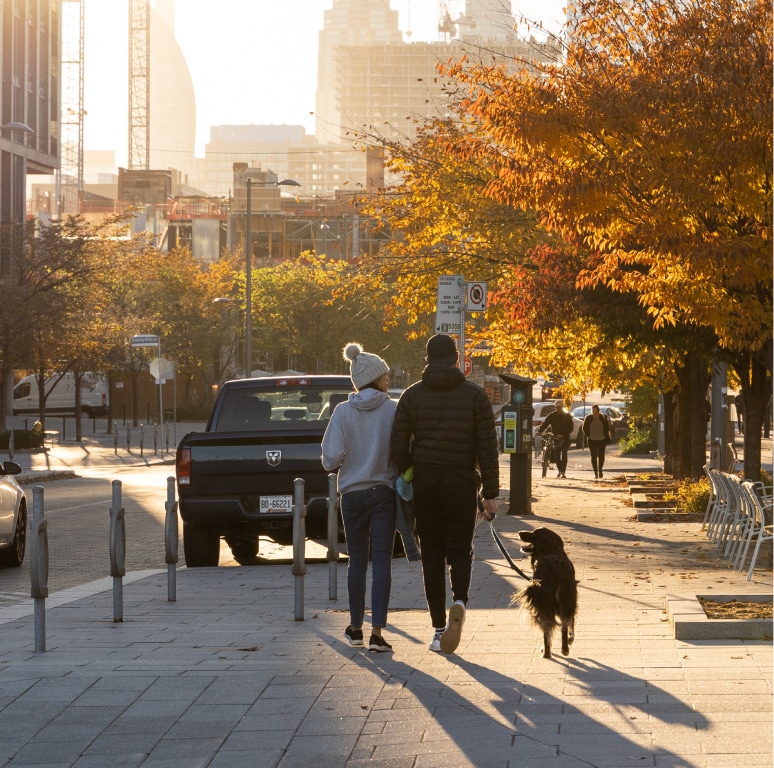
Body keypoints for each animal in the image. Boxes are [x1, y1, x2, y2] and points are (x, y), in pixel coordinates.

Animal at [516, 528, 576, 660]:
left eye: (534, 534)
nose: (519, 532)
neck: (551, 550)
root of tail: (558, 571)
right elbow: (571, 624)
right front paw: (570, 641)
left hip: (545, 603)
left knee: (547, 627)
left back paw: (547, 653)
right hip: (568, 600)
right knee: (566, 623)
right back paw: (565, 649)